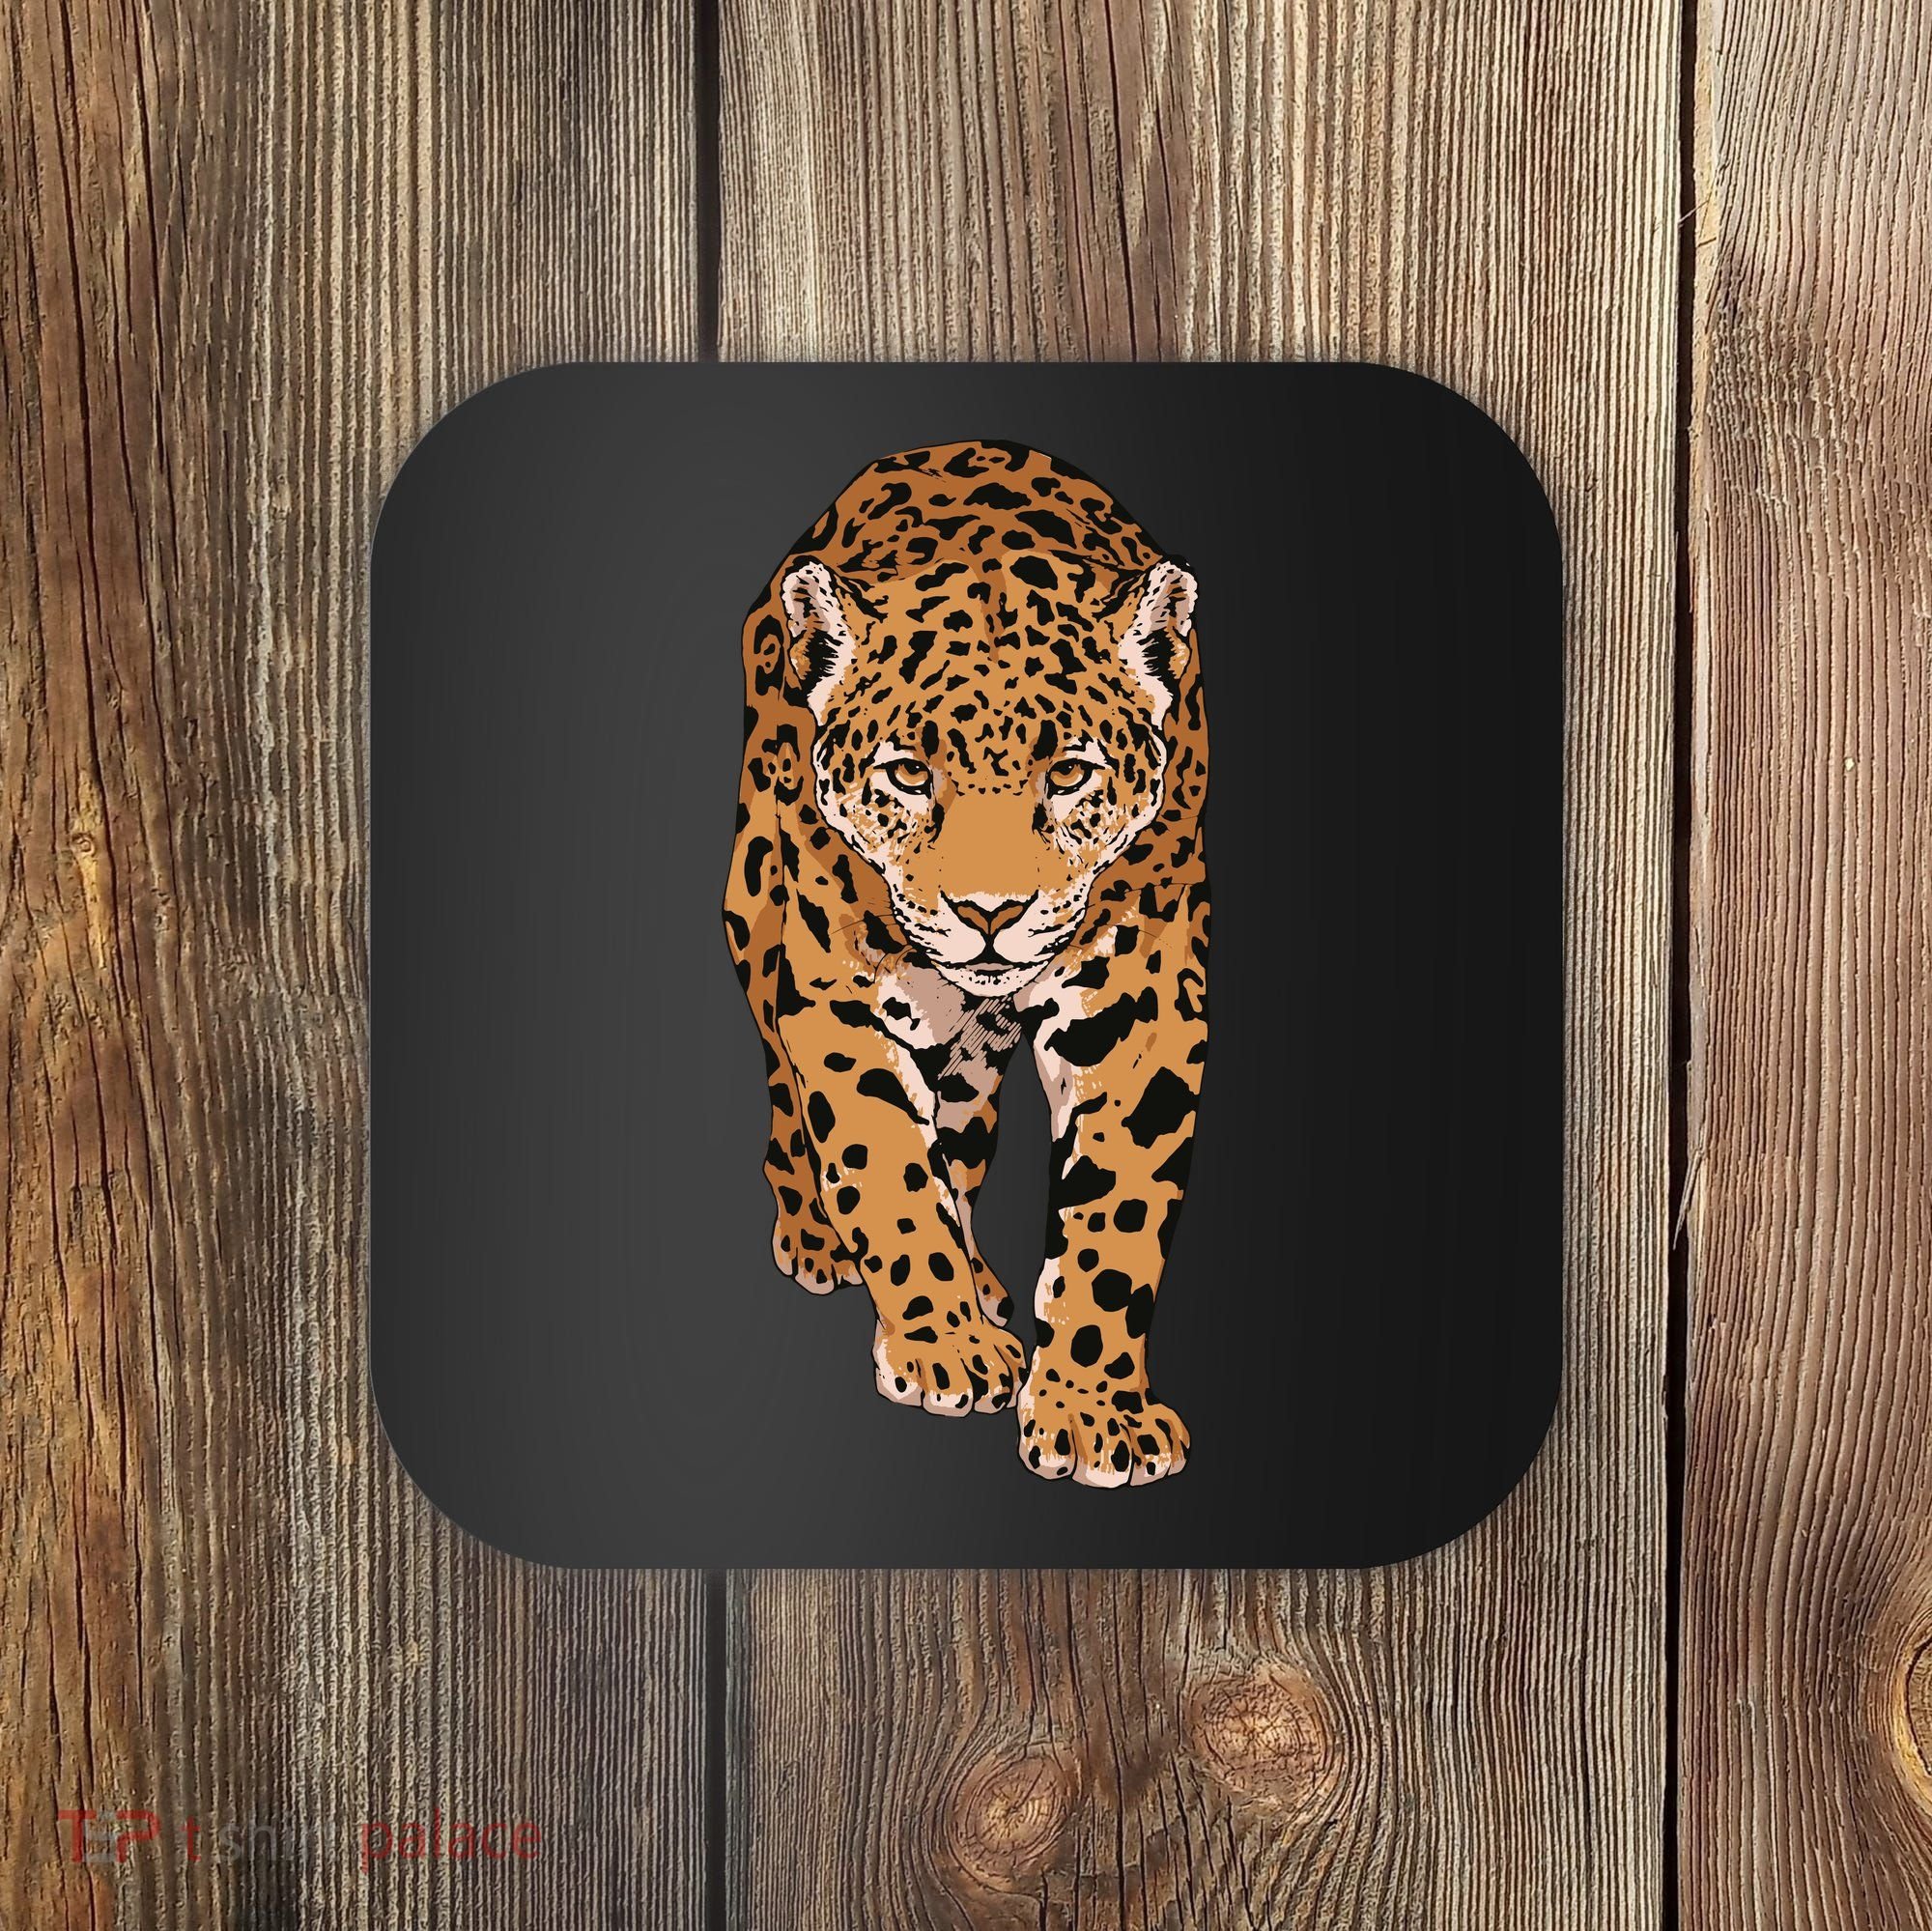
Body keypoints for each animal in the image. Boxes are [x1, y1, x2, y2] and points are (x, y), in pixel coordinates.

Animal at [721, 439, 1209, 1488]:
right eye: (909, 773)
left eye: (1067, 773)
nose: (990, 914)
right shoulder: (842, 992)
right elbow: (883, 1165)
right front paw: (942, 1347)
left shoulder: (1140, 1004)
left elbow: (1117, 1212)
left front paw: (1095, 1411)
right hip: (754, 906)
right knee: (788, 1091)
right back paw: (822, 1237)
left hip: (972, 1044)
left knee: (960, 1129)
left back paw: (981, 1279)